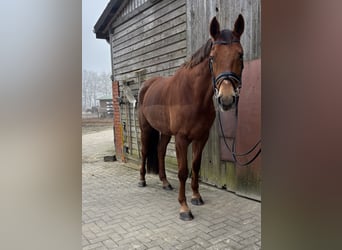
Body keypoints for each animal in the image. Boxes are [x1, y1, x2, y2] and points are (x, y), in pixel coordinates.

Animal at [138, 14, 244, 220]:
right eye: (212, 57)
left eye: (240, 54)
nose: (226, 99)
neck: (193, 96)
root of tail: (147, 85)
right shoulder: (181, 138)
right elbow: (182, 171)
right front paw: (184, 208)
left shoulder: (201, 137)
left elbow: (195, 166)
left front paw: (196, 197)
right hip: (146, 128)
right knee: (146, 151)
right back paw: (141, 180)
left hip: (165, 131)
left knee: (160, 150)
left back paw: (165, 183)